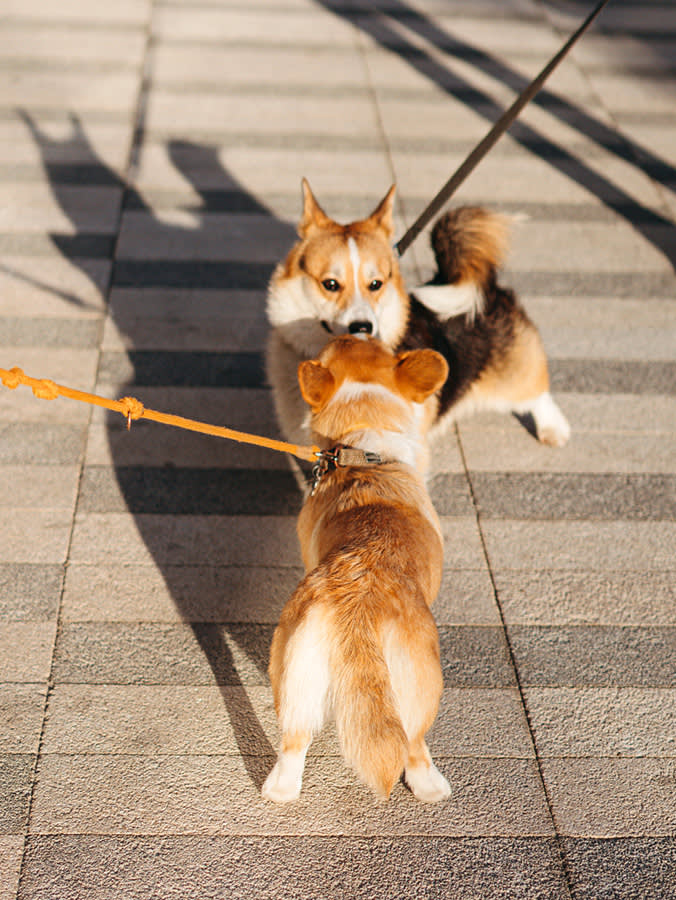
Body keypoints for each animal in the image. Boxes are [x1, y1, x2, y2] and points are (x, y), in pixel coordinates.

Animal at [262, 336, 452, 800]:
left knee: (294, 739)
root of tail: (359, 597)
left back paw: (280, 791)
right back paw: (431, 787)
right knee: (413, 743)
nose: (356, 330)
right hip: (422, 679)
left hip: (294, 667)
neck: (364, 451)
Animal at [266, 180, 568, 458]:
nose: (364, 326)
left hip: (513, 373)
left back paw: (553, 429)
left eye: (376, 284)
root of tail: (488, 287)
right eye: (330, 284)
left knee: (536, 391)